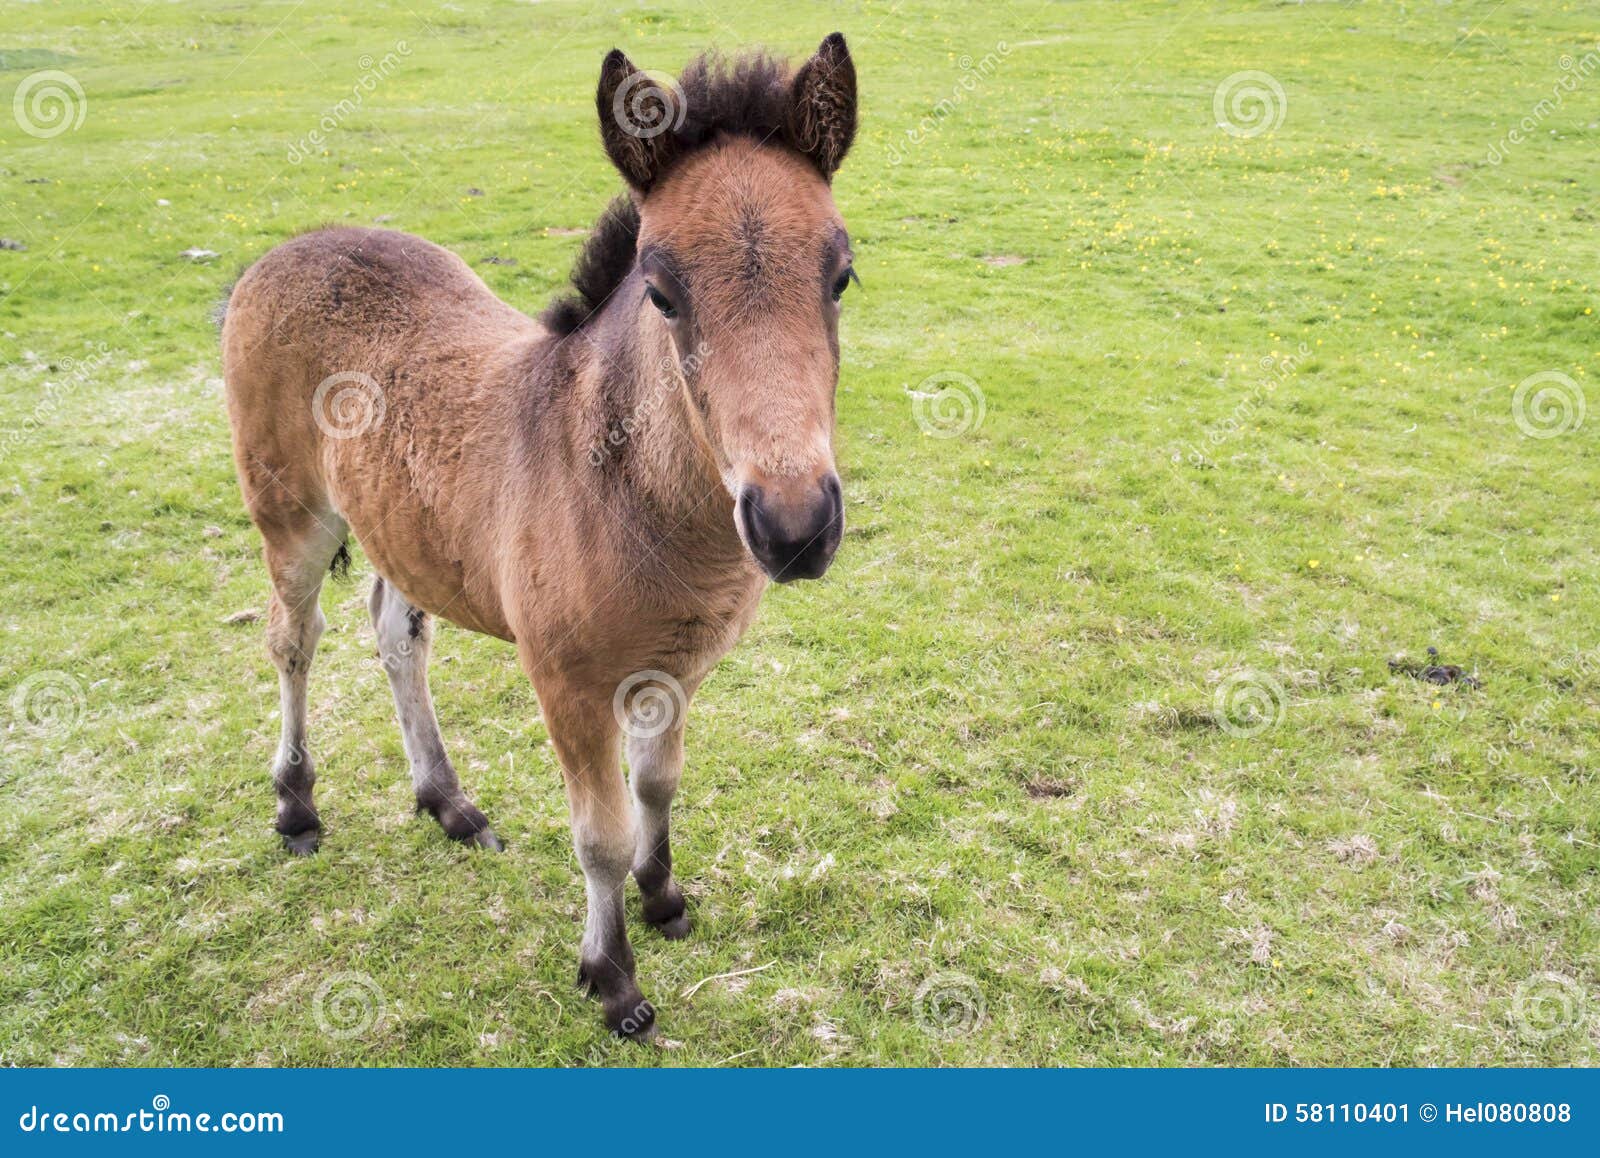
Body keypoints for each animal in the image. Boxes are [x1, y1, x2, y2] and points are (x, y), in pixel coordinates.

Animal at [220, 34, 858, 1038]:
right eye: (661, 292)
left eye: (841, 276)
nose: (794, 526)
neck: (625, 496)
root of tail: (283, 251)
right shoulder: (566, 681)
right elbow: (600, 833)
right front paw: (613, 979)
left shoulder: (673, 667)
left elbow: (656, 788)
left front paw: (665, 901)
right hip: (289, 514)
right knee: (294, 640)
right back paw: (296, 808)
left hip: (400, 524)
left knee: (396, 633)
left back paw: (449, 803)